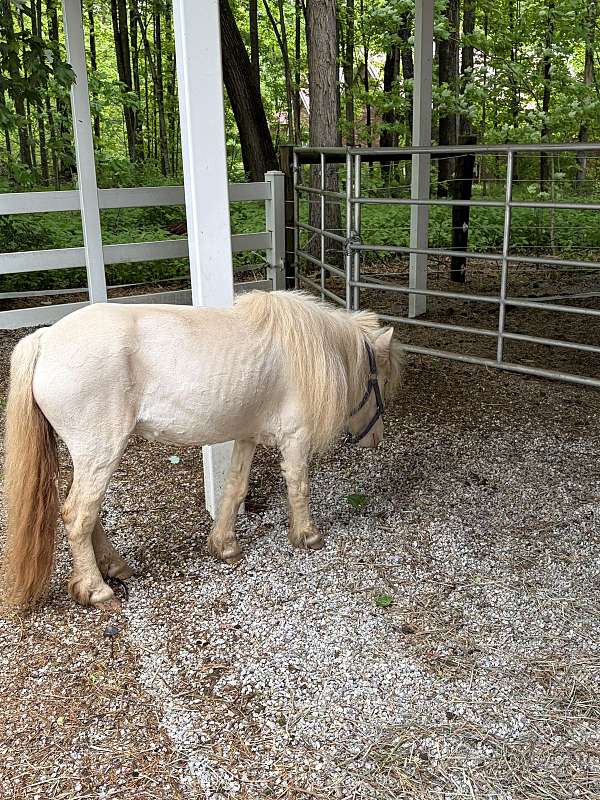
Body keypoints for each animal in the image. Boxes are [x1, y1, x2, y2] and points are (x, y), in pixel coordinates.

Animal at [3, 290, 403, 610]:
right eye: (380, 380)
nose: (377, 438)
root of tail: (44, 340)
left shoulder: (247, 436)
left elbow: (235, 488)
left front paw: (224, 545)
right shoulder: (295, 437)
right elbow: (299, 487)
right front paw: (307, 536)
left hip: (91, 457)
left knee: (90, 513)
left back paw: (115, 567)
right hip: (101, 452)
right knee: (78, 516)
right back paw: (97, 589)